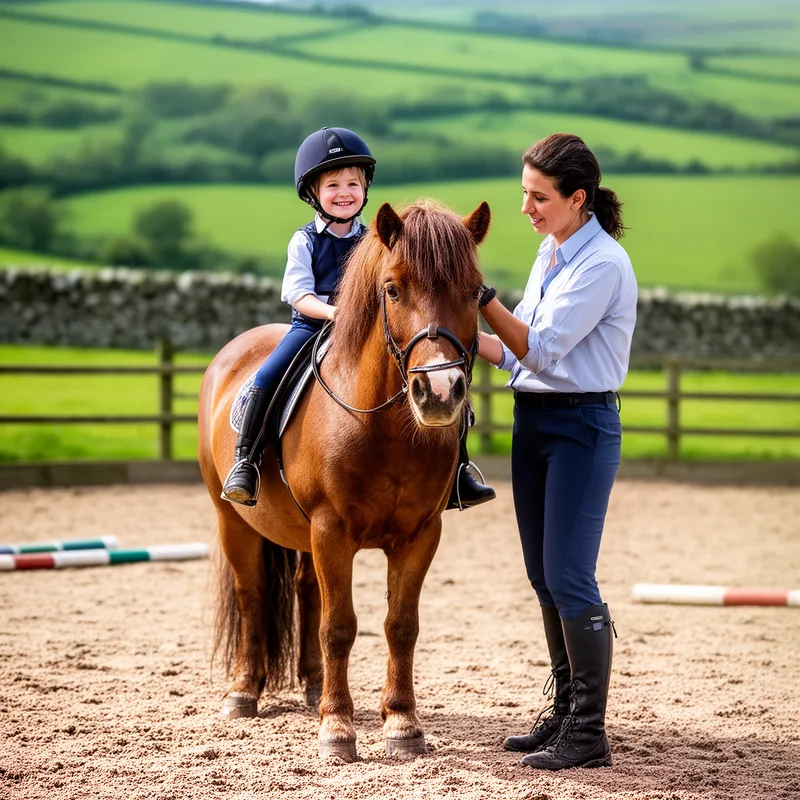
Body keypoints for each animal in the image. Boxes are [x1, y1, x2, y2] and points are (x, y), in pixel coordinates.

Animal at [197, 198, 491, 761]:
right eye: (392, 289)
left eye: (474, 291)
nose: (440, 392)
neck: (384, 426)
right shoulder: (332, 529)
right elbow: (339, 627)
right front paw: (338, 729)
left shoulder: (420, 534)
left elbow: (401, 626)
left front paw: (402, 724)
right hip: (233, 520)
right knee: (252, 596)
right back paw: (244, 693)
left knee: (306, 592)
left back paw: (314, 688)